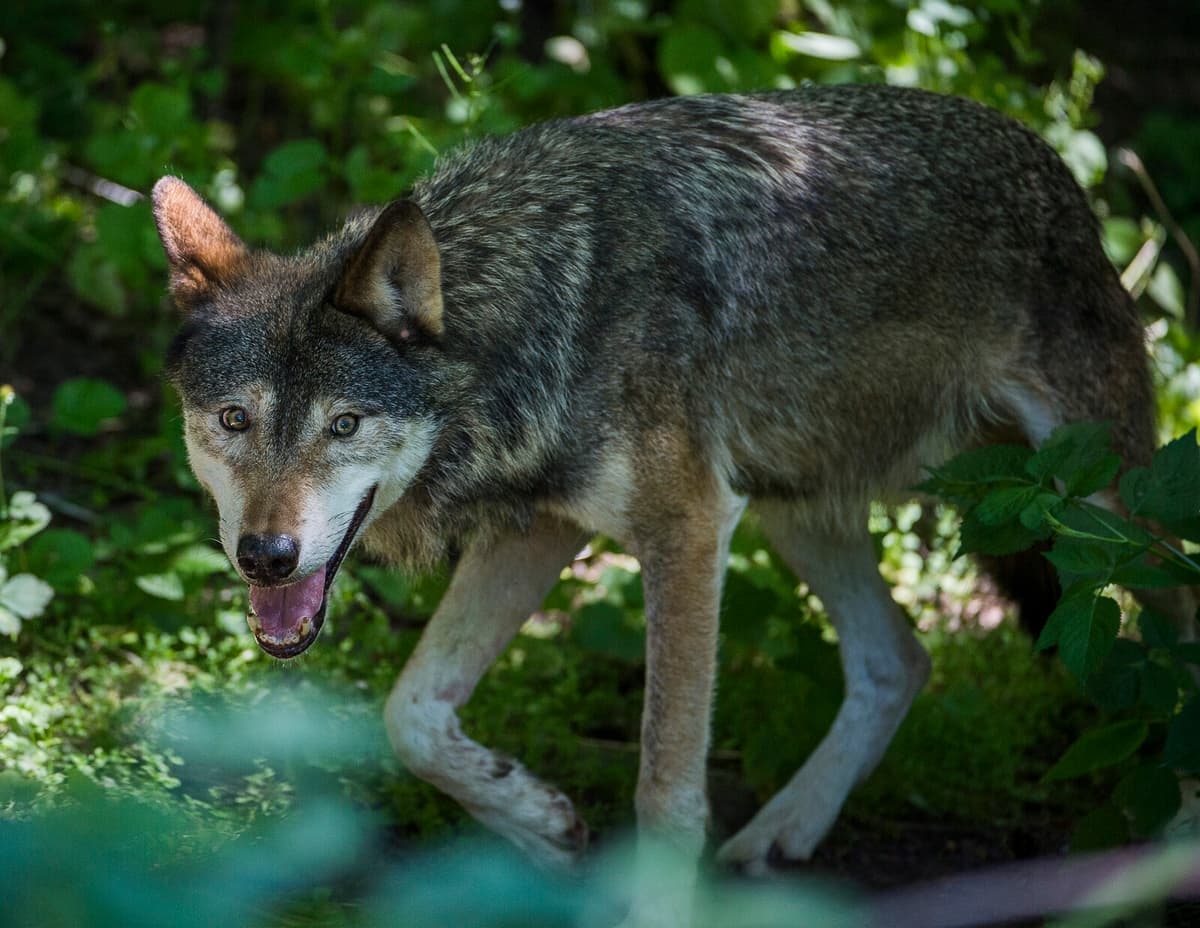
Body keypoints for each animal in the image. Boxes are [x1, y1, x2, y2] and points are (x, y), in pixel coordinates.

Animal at [153, 84, 1178, 924]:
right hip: (790, 506)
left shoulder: (684, 528)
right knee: (900, 658)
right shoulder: (543, 528)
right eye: (235, 419)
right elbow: (411, 716)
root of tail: (1053, 160)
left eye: (345, 423)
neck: (539, 314)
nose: (267, 557)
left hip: (1113, 504)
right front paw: (540, 821)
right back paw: (783, 833)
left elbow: (666, 795)